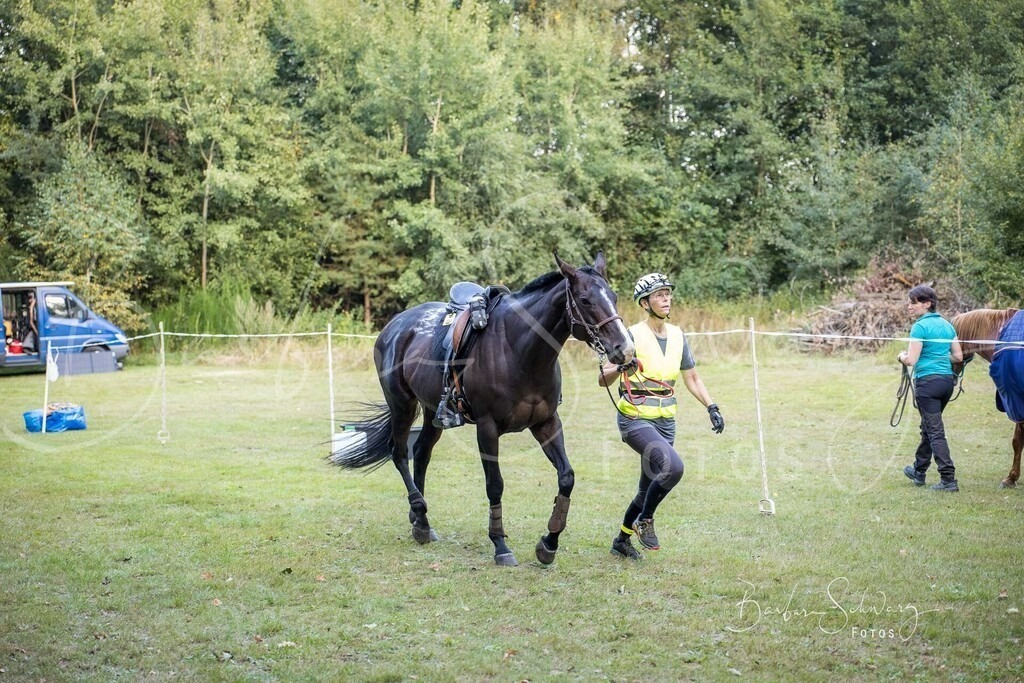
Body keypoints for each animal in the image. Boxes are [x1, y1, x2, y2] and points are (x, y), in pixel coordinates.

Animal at [330, 253, 634, 566]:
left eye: (613, 296)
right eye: (585, 300)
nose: (624, 349)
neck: (520, 352)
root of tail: (395, 326)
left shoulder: (547, 423)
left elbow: (566, 478)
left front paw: (549, 543)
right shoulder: (487, 429)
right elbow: (495, 485)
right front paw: (500, 545)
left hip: (432, 412)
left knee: (421, 453)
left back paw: (421, 521)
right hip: (402, 405)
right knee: (400, 453)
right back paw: (419, 510)